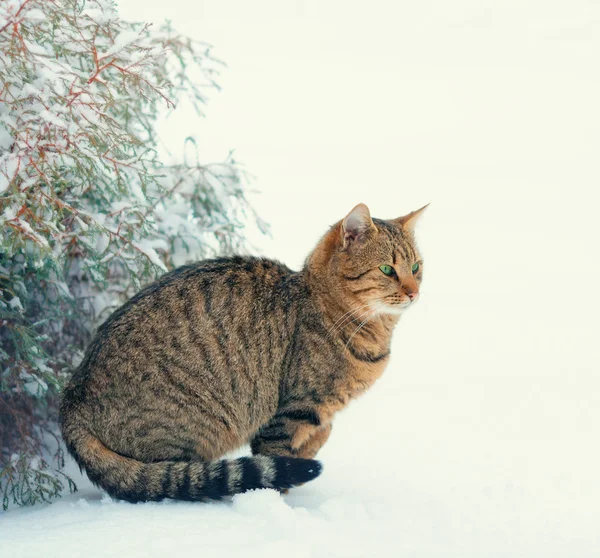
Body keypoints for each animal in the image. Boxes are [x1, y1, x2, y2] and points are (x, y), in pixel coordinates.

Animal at [59, 203, 426, 506]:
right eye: (387, 269)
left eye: (417, 267)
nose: (414, 292)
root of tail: (71, 399)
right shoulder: (288, 412)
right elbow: (277, 459)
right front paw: (279, 499)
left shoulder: (318, 411)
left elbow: (322, 433)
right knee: (174, 479)